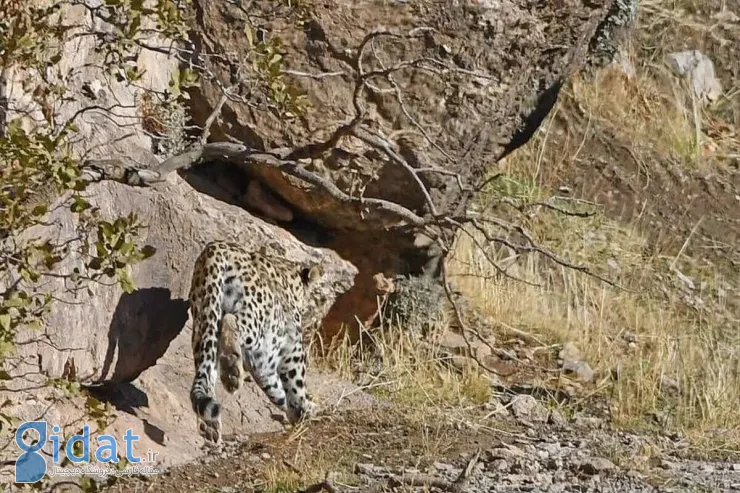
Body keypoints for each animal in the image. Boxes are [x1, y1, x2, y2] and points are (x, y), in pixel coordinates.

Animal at [188, 240, 320, 444]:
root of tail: (215, 247)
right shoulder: (292, 349)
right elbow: (295, 383)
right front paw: (303, 409)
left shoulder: (263, 361)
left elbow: (276, 390)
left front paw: (300, 411)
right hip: (255, 316)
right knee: (231, 321)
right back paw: (231, 372)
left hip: (204, 320)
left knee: (206, 370)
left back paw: (209, 426)